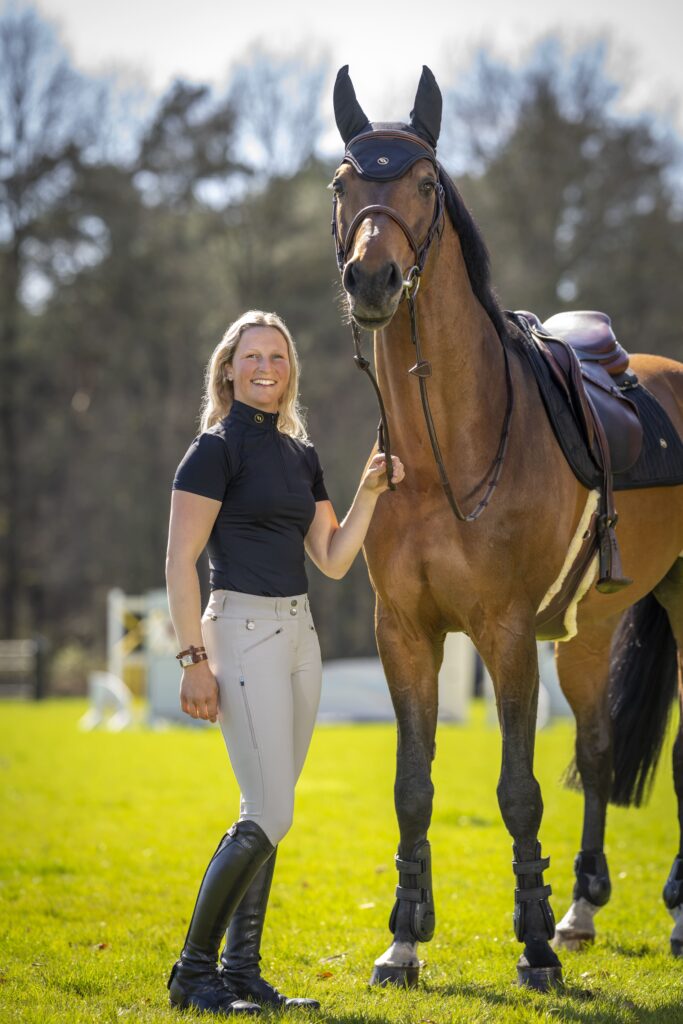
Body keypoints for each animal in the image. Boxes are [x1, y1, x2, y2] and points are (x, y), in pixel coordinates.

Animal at [330, 64, 683, 990]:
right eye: (343, 182)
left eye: (424, 183)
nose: (372, 279)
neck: (443, 450)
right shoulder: (404, 631)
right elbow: (412, 787)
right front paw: (404, 939)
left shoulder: (504, 632)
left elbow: (517, 791)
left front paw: (529, 945)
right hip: (589, 631)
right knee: (596, 750)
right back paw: (583, 908)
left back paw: (665, 913)